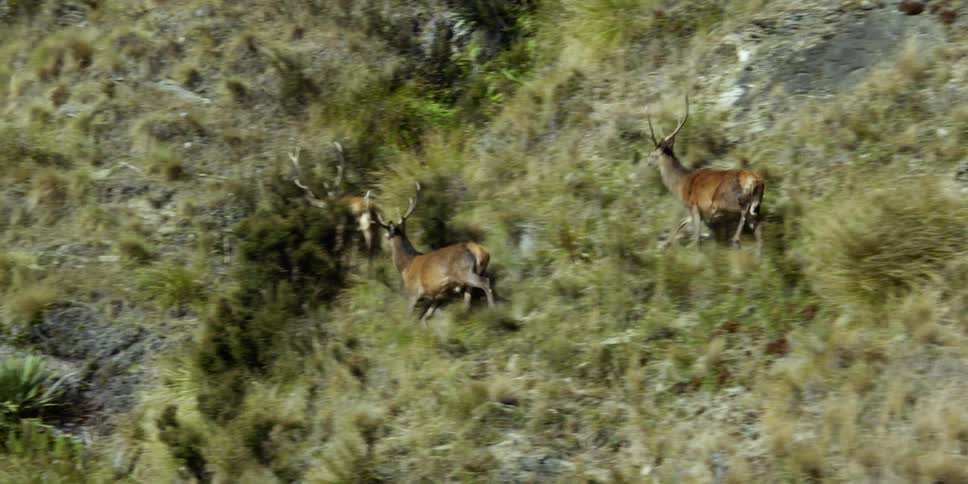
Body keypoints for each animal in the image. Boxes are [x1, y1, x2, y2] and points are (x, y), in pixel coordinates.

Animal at [367, 182, 495, 325]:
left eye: (387, 235)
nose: (382, 241)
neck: (406, 266)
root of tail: (480, 251)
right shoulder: (436, 295)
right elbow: (425, 318)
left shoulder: (413, 292)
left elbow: (409, 317)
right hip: (471, 275)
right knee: (469, 295)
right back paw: (465, 314)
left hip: (464, 272)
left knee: (485, 283)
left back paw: (493, 310)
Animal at [645, 95, 765, 257]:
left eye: (653, 155)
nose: (648, 162)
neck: (680, 185)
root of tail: (755, 180)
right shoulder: (700, 213)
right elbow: (681, 226)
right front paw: (667, 244)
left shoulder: (694, 206)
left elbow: (696, 239)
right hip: (757, 203)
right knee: (758, 231)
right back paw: (758, 255)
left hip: (727, 199)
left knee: (744, 210)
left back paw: (736, 240)